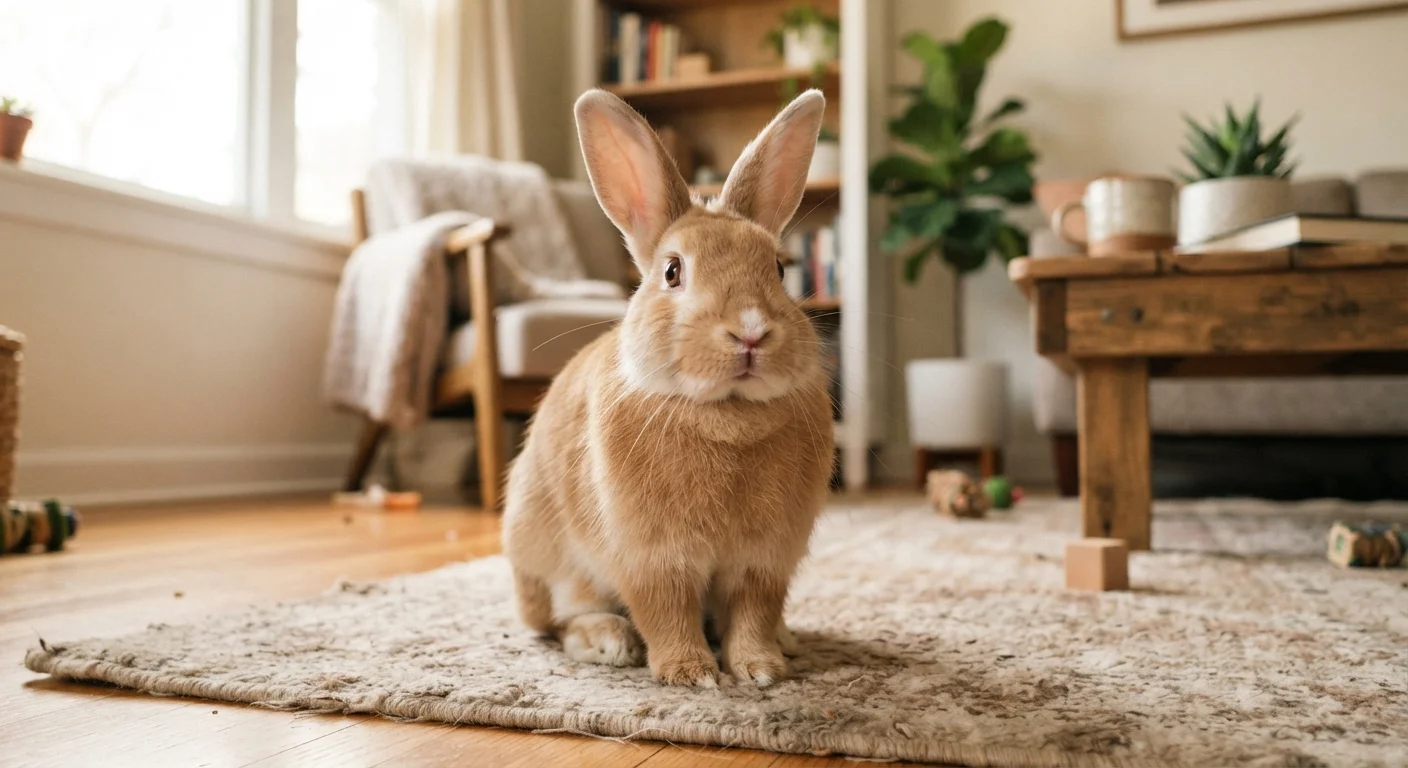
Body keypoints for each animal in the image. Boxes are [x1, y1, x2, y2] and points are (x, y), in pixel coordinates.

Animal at [501, 88, 834, 688]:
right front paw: (692, 674)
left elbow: (753, 613)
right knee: (560, 620)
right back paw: (608, 641)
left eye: (777, 269)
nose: (751, 331)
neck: (726, 411)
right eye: (673, 271)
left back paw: (786, 640)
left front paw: (760, 668)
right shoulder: (652, 559)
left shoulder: (765, 562)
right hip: (552, 562)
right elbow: (666, 612)